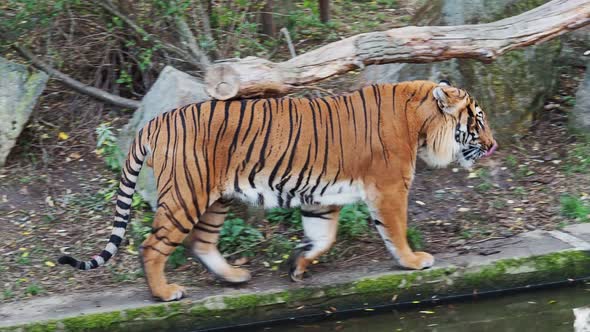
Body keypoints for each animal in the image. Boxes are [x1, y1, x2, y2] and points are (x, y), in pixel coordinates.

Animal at [60, 80, 498, 300]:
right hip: (187, 195)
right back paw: (165, 293)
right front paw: (413, 260)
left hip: (215, 198)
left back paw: (235, 277)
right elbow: (396, 230)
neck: (421, 123)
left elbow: (323, 237)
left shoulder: (323, 198)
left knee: (201, 243)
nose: (493, 145)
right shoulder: (389, 189)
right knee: (152, 247)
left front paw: (297, 266)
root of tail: (155, 121)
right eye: (477, 120)